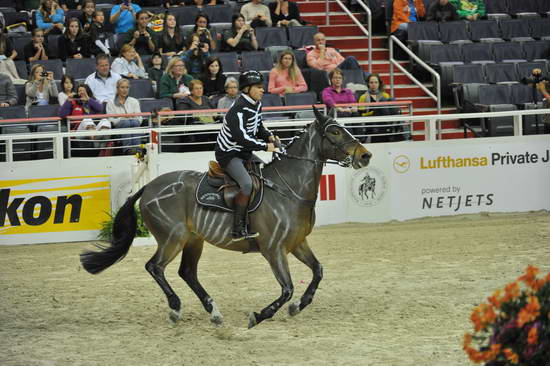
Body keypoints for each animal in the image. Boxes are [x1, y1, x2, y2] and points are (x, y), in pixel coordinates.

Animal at [81, 106, 376, 328]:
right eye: (335, 131)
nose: (366, 155)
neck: (289, 188)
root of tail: (150, 186)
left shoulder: (297, 243)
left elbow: (317, 272)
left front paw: (297, 307)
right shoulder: (274, 250)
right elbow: (287, 288)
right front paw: (259, 315)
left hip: (193, 240)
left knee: (187, 272)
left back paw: (213, 312)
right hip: (173, 237)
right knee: (155, 267)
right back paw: (176, 308)